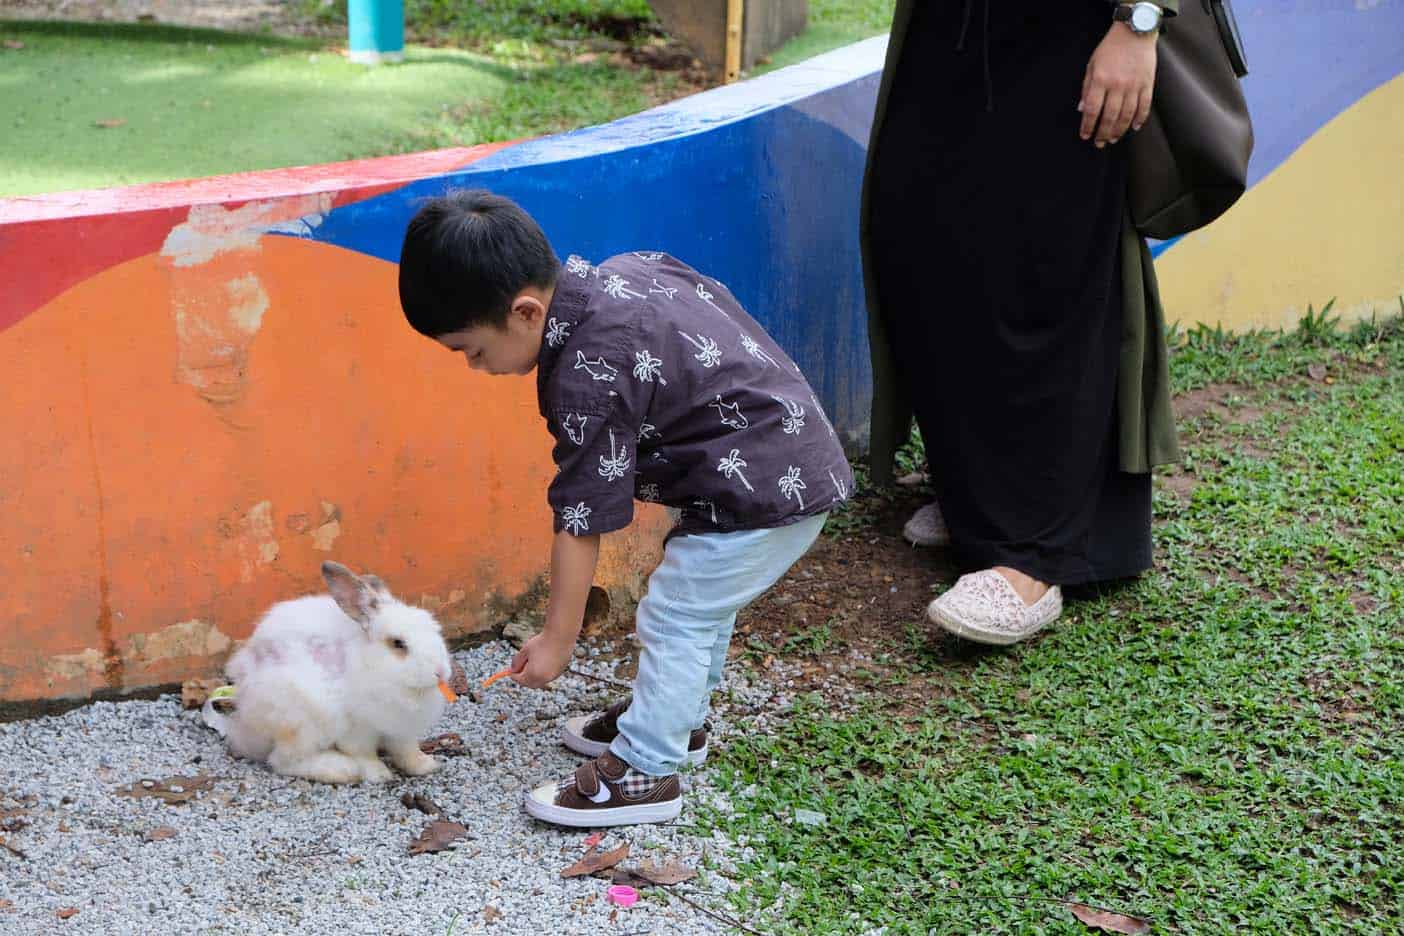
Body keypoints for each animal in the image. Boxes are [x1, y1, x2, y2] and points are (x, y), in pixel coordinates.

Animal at [217, 564, 454, 785]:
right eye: (398, 643)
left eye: (435, 630)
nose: (440, 672)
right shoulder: (358, 728)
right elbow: (364, 753)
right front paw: (378, 775)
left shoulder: (402, 730)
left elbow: (407, 750)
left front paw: (425, 766)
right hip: (304, 721)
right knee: (283, 761)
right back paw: (341, 770)